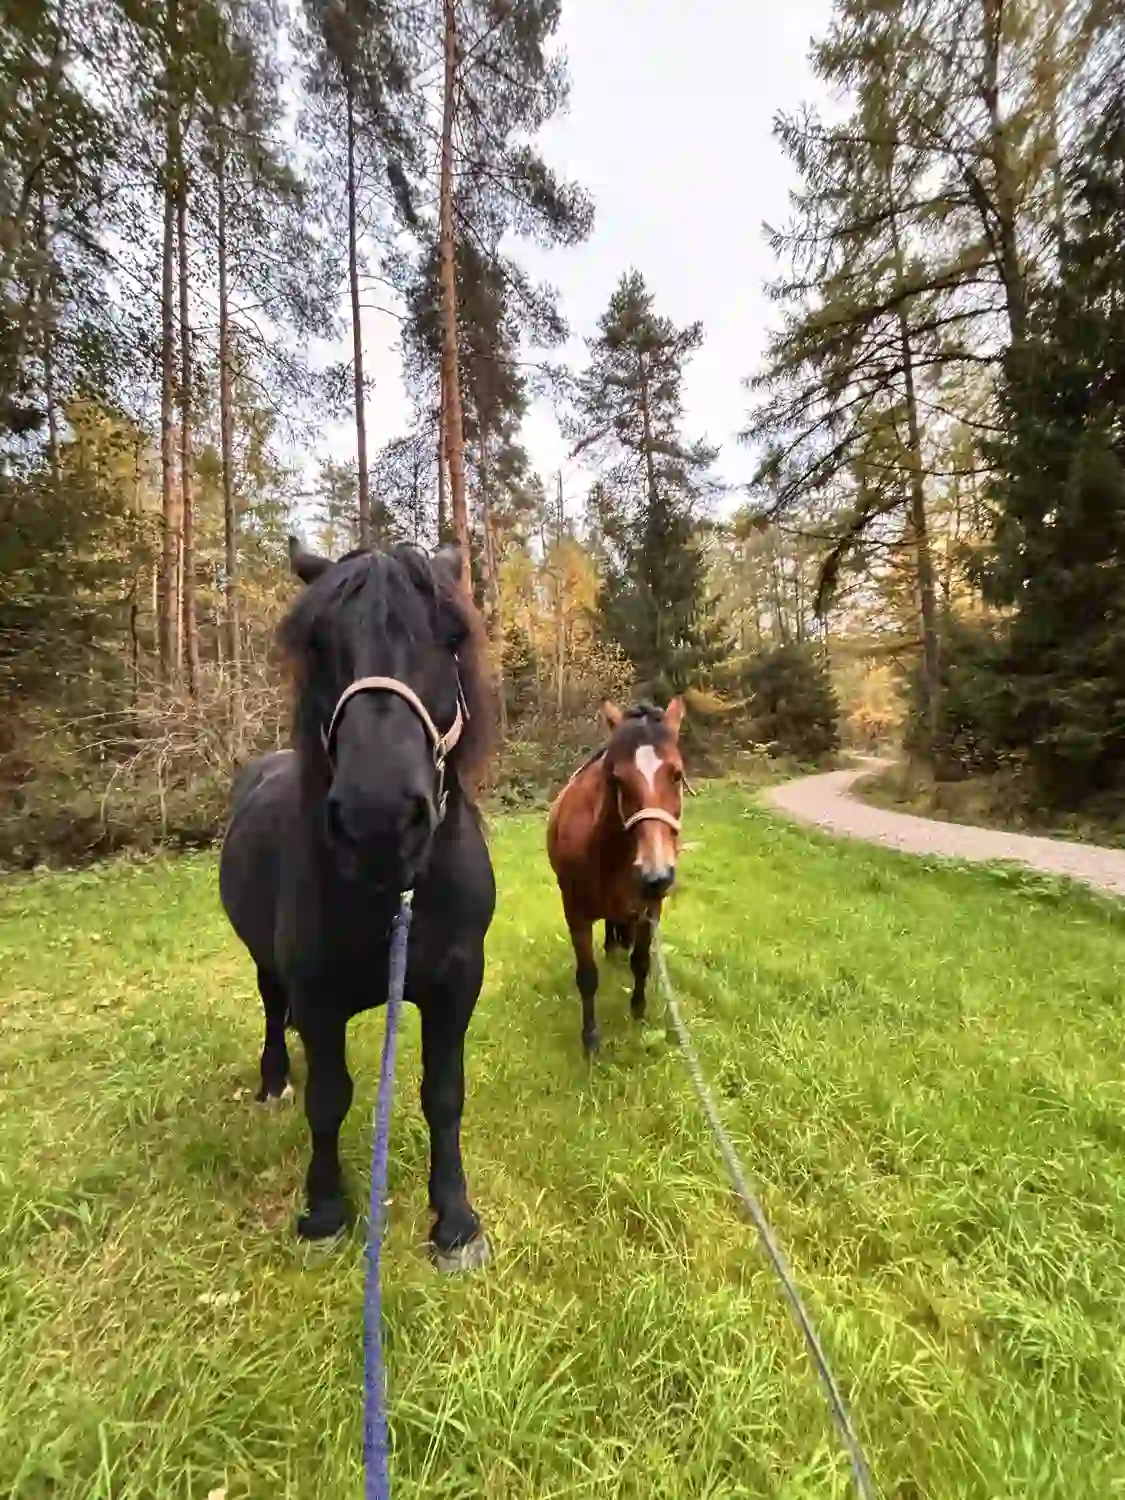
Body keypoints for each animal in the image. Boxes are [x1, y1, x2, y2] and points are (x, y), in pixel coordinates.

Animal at [218, 538, 494, 1269]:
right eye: (319, 641)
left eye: (449, 637)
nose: (379, 818)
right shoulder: (316, 993)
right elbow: (328, 1098)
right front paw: (324, 1212)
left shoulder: (457, 982)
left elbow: (444, 1094)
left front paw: (455, 1222)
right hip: (266, 963)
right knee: (273, 1010)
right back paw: (273, 1080)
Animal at [547, 699, 687, 1054]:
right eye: (617, 780)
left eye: (677, 775)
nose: (655, 874)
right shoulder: (576, 913)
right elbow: (587, 976)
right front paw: (591, 1039)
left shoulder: (650, 909)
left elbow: (642, 961)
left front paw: (638, 1012)